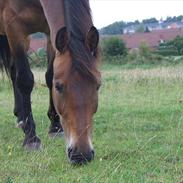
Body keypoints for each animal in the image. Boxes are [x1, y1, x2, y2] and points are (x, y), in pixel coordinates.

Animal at [0, 0, 100, 165]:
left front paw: (55, 127)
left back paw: (20, 119)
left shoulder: (50, 32)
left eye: (98, 86)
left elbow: (49, 76)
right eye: (58, 87)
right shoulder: (13, 27)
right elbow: (25, 80)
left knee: (14, 73)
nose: (81, 155)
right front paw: (31, 138)